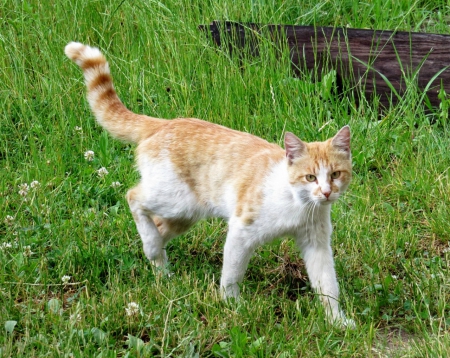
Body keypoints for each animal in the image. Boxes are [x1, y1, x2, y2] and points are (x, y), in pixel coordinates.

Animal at [66, 42, 356, 328]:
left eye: (335, 174)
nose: (326, 192)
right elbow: (232, 274)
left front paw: (337, 321)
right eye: (310, 177)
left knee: (158, 228)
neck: (298, 204)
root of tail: (165, 123)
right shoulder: (241, 230)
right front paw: (231, 305)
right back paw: (151, 246)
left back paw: (160, 268)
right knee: (133, 196)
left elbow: (328, 284)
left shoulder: (316, 243)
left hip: (185, 214)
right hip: (175, 199)